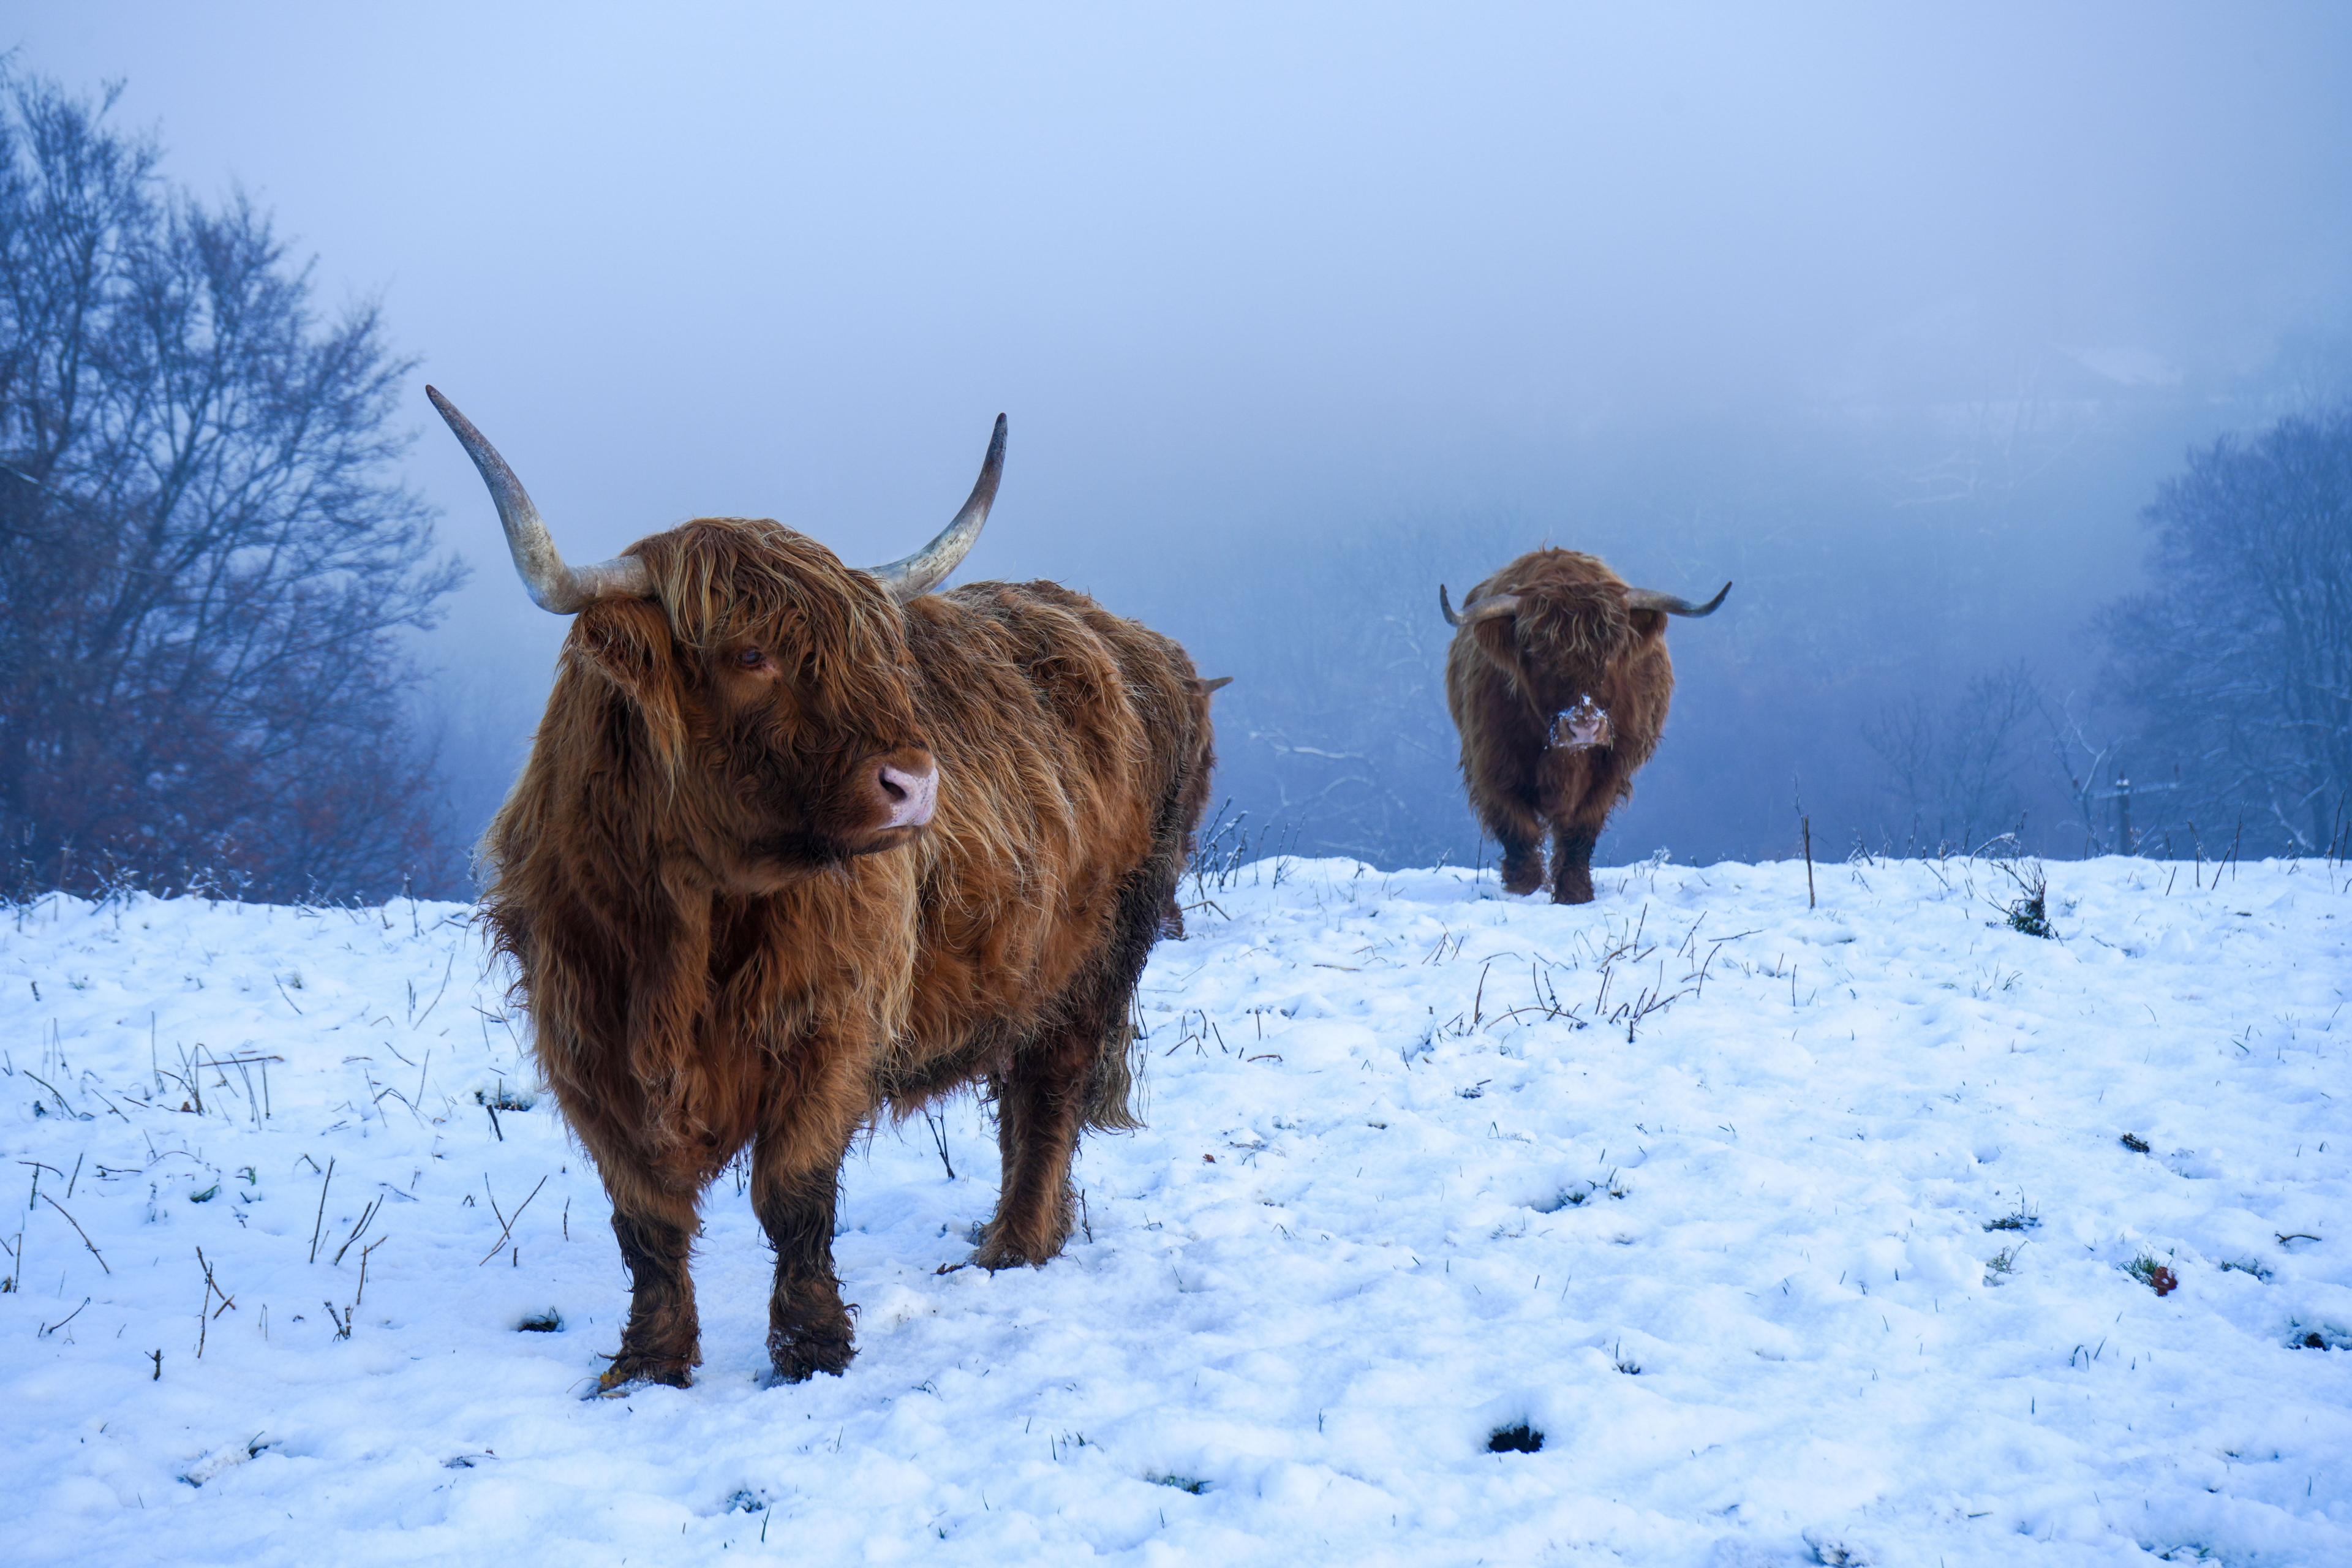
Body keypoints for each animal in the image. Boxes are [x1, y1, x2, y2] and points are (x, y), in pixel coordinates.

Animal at [430, 394, 1223, 1401]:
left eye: (869, 653)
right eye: (748, 653)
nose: (915, 784)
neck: (689, 918)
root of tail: (1134, 637)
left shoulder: (830, 1025)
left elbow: (793, 1194)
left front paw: (811, 1349)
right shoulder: (586, 1042)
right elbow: (645, 1220)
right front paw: (648, 1364)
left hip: (1106, 950)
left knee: (1051, 1094)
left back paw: (1012, 1250)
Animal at [1430, 550, 1731, 902]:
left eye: (1613, 653)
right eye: (1538, 654)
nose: (1584, 727)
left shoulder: (1610, 770)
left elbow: (1580, 831)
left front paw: (1575, 893)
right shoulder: (1492, 763)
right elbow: (1517, 829)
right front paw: (1524, 889)